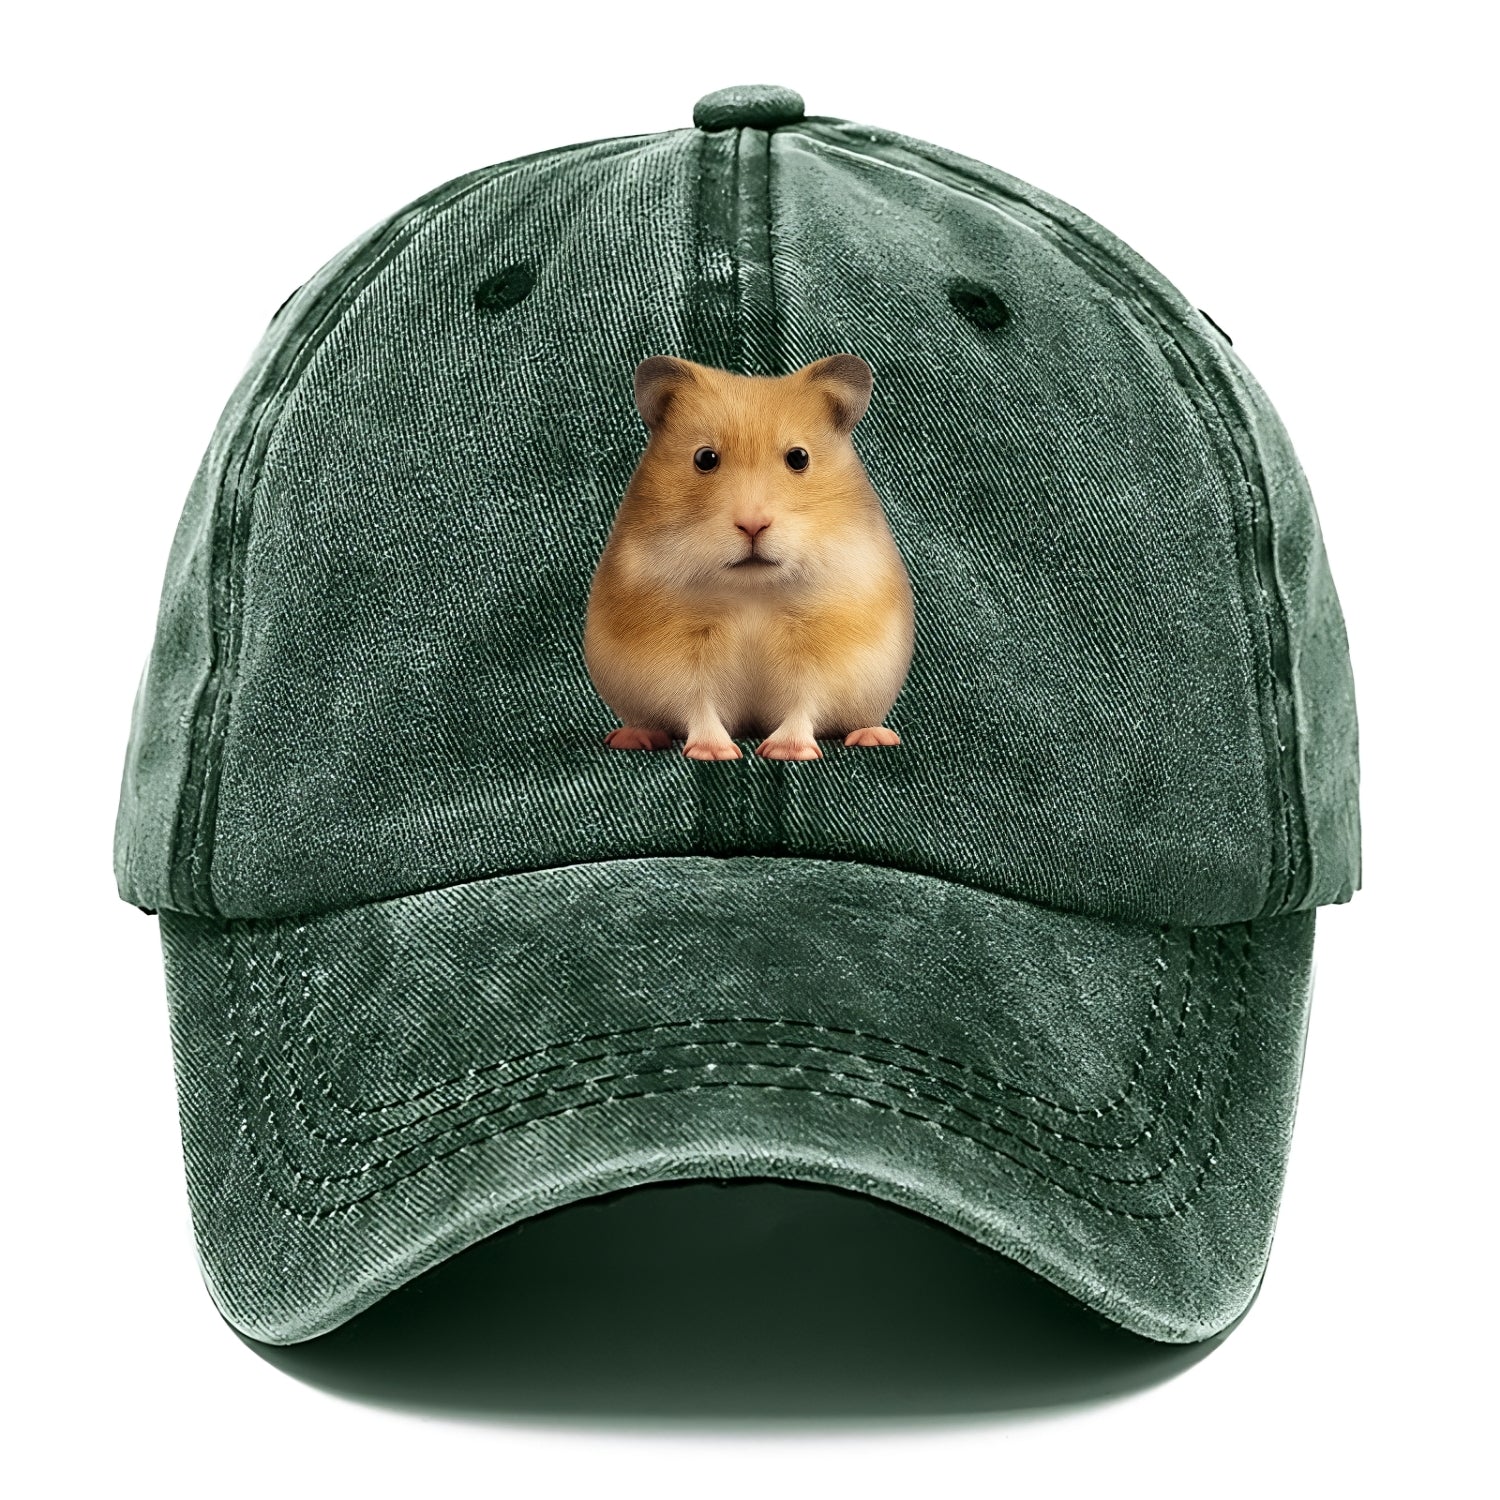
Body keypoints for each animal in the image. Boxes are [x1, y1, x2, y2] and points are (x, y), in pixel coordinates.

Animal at [584, 354, 914, 761]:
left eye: (798, 458)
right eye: (705, 458)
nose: (753, 525)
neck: (751, 590)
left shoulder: (822, 652)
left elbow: (804, 701)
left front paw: (786, 751)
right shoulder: (676, 658)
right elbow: (697, 702)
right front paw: (714, 753)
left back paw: (876, 736)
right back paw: (633, 738)